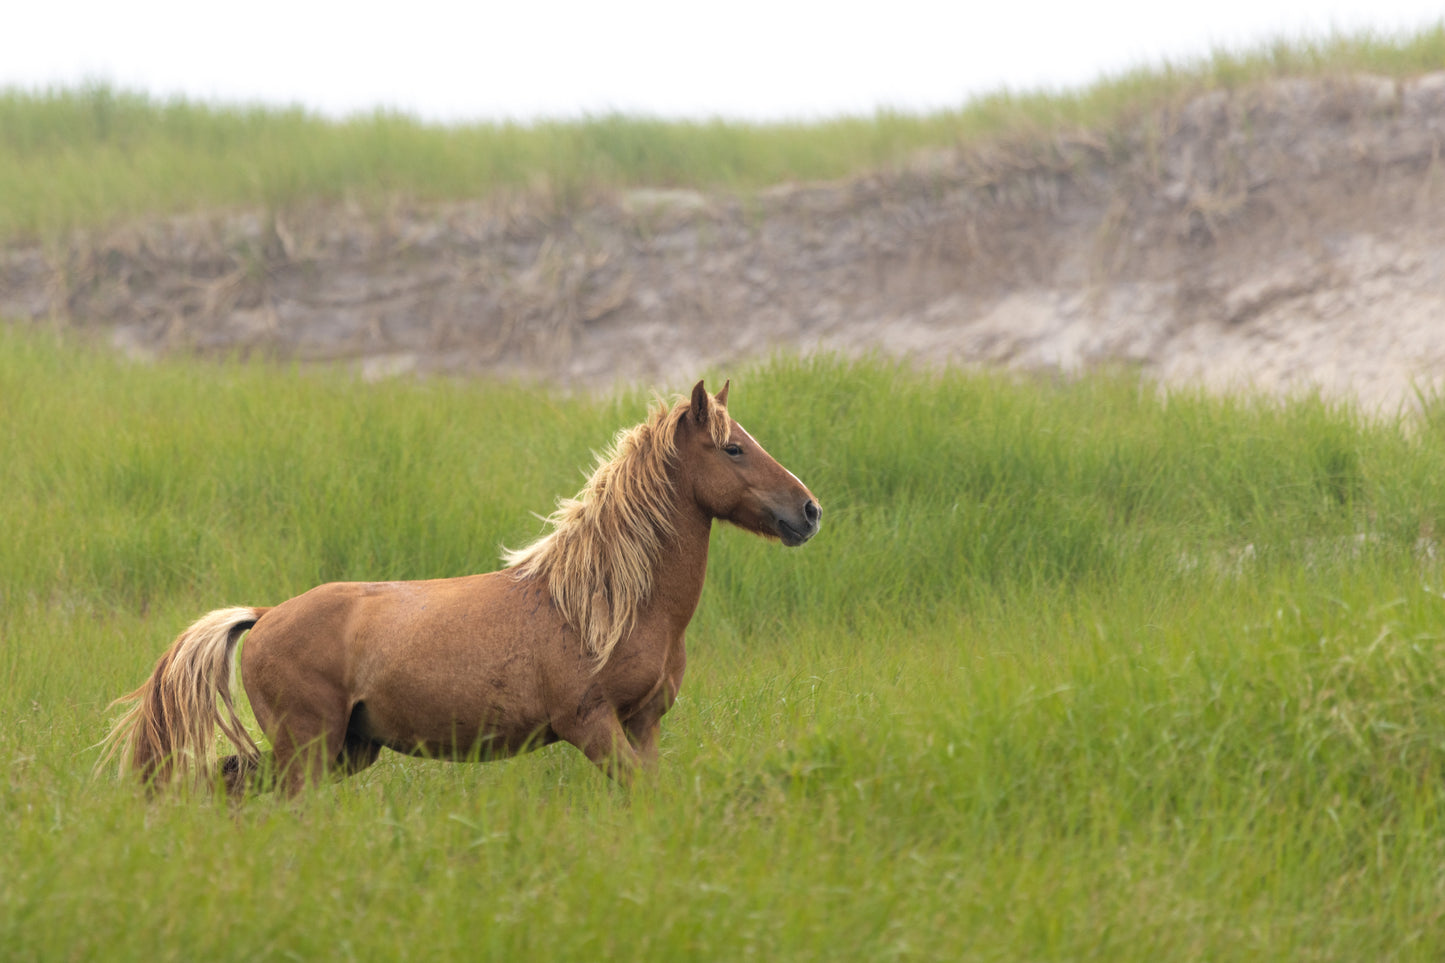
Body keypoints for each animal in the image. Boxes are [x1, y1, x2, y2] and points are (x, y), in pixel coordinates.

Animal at [98, 378, 826, 792]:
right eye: (732, 448)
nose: (809, 510)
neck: (608, 605)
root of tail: (266, 612)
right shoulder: (592, 725)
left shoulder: (641, 727)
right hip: (310, 746)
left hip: (345, 750)